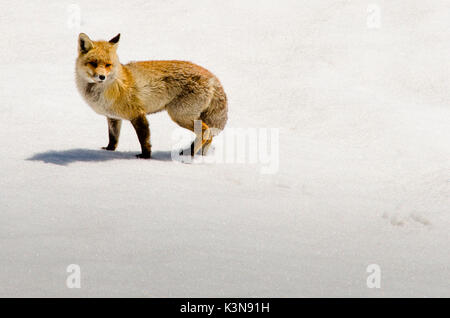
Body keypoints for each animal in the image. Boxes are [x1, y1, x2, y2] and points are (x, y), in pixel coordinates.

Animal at [76, 33, 229, 158]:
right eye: (93, 63)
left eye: (108, 65)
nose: (102, 77)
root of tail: (212, 77)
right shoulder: (113, 117)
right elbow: (113, 138)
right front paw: (109, 151)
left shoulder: (138, 114)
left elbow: (144, 140)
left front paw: (145, 157)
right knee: (209, 136)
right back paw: (200, 156)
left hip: (179, 115)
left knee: (205, 132)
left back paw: (190, 155)